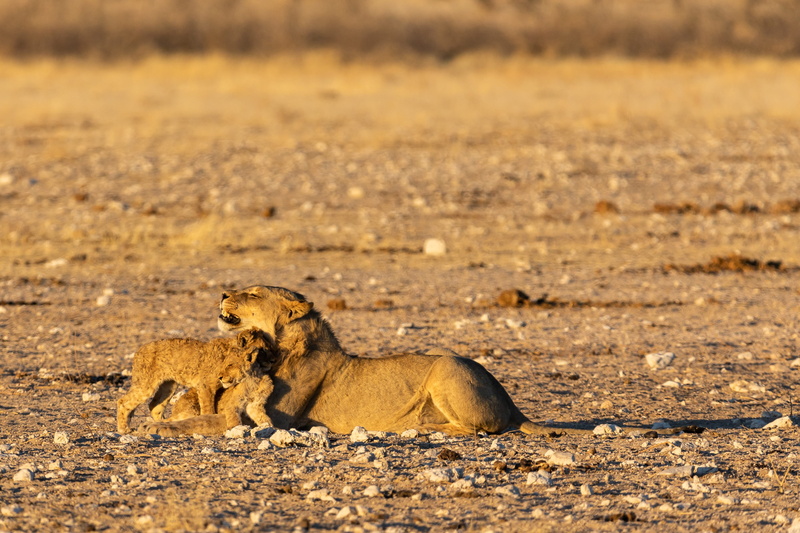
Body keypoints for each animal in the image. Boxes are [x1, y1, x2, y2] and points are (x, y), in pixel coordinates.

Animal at [117, 328, 273, 433]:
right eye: (263, 349)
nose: (272, 360)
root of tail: (139, 350)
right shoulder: (205, 386)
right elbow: (208, 409)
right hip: (146, 385)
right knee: (123, 401)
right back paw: (124, 429)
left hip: (169, 386)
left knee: (154, 406)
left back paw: (160, 424)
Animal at [138, 286, 594, 437]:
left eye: (251, 293)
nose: (221, 295)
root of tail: (511, 400)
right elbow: (192, 409)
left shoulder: (271, 418)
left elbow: (201, 421)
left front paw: (153, 427)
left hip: (446, 367)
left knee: (475, 429)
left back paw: (420, 427)